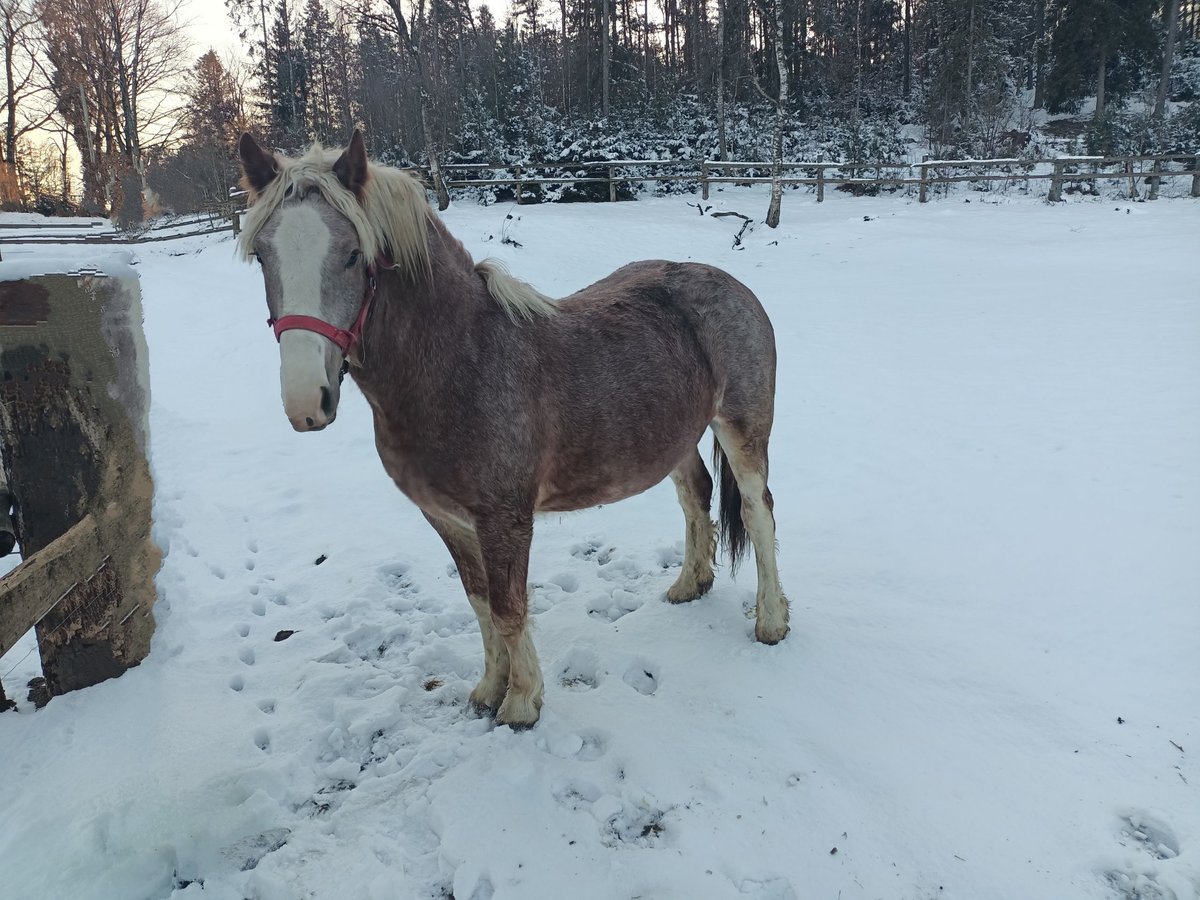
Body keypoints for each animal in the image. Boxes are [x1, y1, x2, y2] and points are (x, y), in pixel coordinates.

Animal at [238, 130, 792, 729]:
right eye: (262, 255)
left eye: (352, 255)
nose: (306, 402)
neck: (461, 364)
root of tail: (730, 284)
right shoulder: (447, 518)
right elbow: (480, 602)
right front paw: (489, 689)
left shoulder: (505, 518)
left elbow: (508, 607)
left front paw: (522, 703)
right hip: (674, 437)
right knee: (696, 495)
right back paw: (691, 584)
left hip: (742, 428)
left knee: (758, 512)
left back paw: (771, 621)